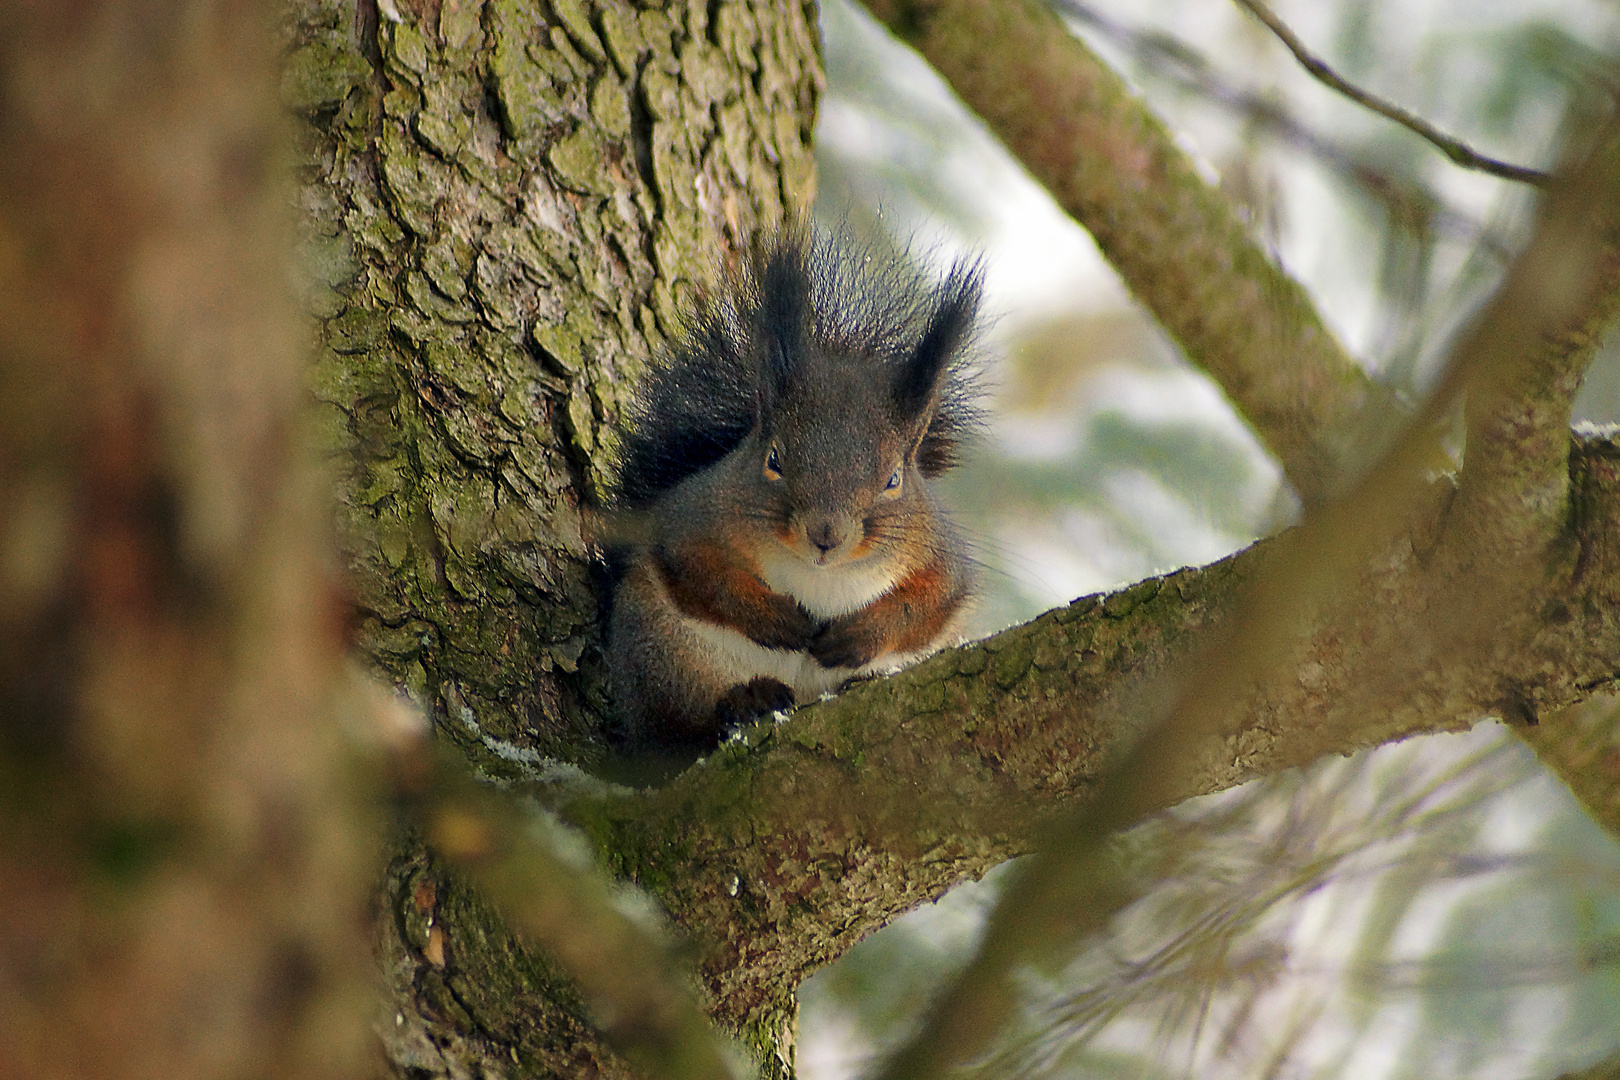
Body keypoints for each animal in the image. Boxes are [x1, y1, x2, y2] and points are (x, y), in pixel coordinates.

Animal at [609, 226, 978, 751]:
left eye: (893, 479)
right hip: (666, 659)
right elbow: (702, 573)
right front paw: (778, 620)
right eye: (774, 460)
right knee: (675, 731)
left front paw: (855, 637)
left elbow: (927, 604)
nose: (825, 535)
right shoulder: (689, 518)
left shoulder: (940, 556)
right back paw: (745, 703)